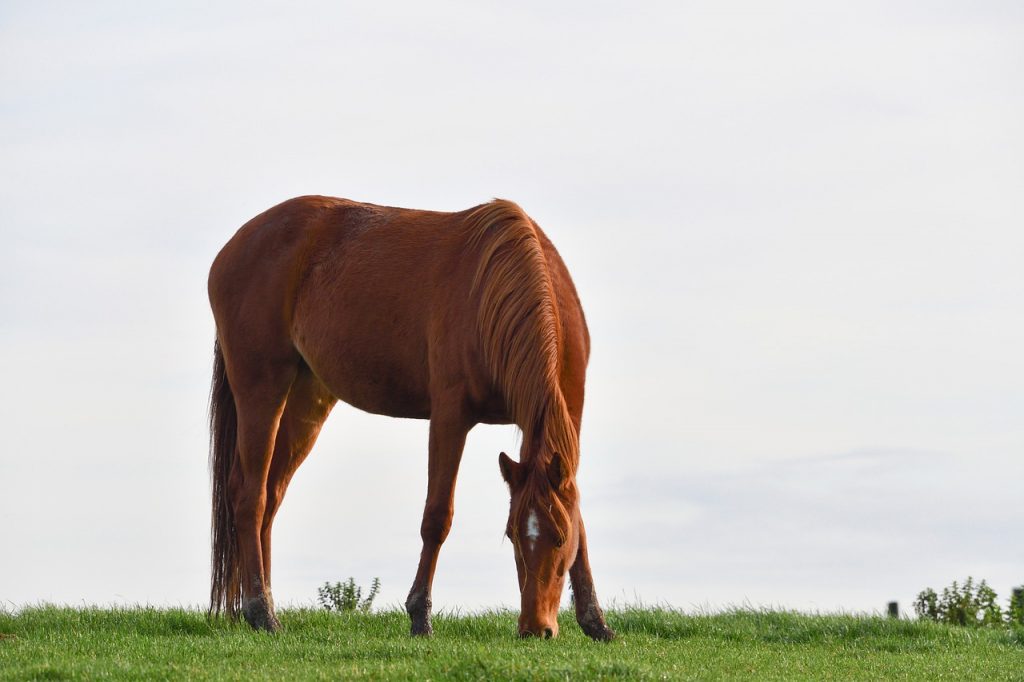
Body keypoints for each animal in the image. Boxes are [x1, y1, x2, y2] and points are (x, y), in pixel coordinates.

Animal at [203, 195, 610, 638]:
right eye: (513, 535)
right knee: (250, 495)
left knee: (272, 494)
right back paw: (260, 610)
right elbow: (437, 516)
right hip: (261, 388)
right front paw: (420, 615)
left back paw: (264, 604)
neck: (499, 288)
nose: (536, 628)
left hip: (306, 398)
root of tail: (233, 247)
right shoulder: (450, 417)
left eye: (559, 539)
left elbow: (580, 518)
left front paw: (595, 620)